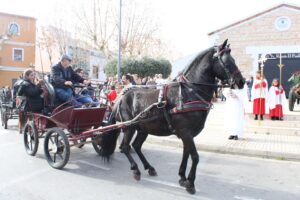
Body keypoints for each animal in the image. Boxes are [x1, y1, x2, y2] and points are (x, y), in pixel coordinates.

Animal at [98, 39, 244, 194]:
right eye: (227, 61)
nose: (241, 81)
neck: (189, 92)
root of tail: (120, 97)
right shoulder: (186, 132)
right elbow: (195, 156)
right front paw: (190, 183)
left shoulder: (188, 134)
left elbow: (186, 154)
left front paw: (182, 177)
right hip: (129, 127)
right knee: (125, 147)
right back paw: (136, 170)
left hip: (143, 128)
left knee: (136, 146)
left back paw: (149, 168)